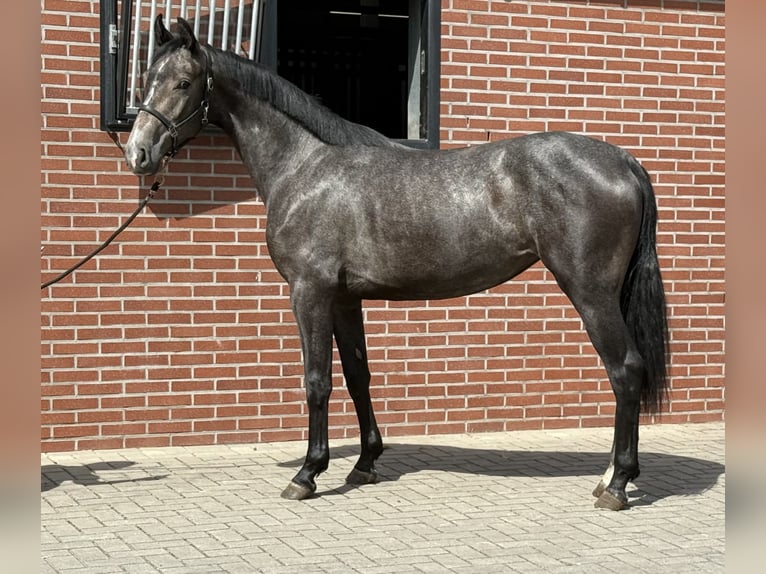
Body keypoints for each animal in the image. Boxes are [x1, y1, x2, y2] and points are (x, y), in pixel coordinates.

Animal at [124, 15, 668, 511]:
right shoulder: (345, 299)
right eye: (146, 78)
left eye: (183, 82)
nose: (139, 153)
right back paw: (608, 477)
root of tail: (623, 161)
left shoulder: (309, 291)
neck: (305, 167)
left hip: (590, 292)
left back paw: (617, 485)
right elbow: (357, 375)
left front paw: (307, 473)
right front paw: (365, 463)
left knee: (625, 371)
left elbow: (317, 381)